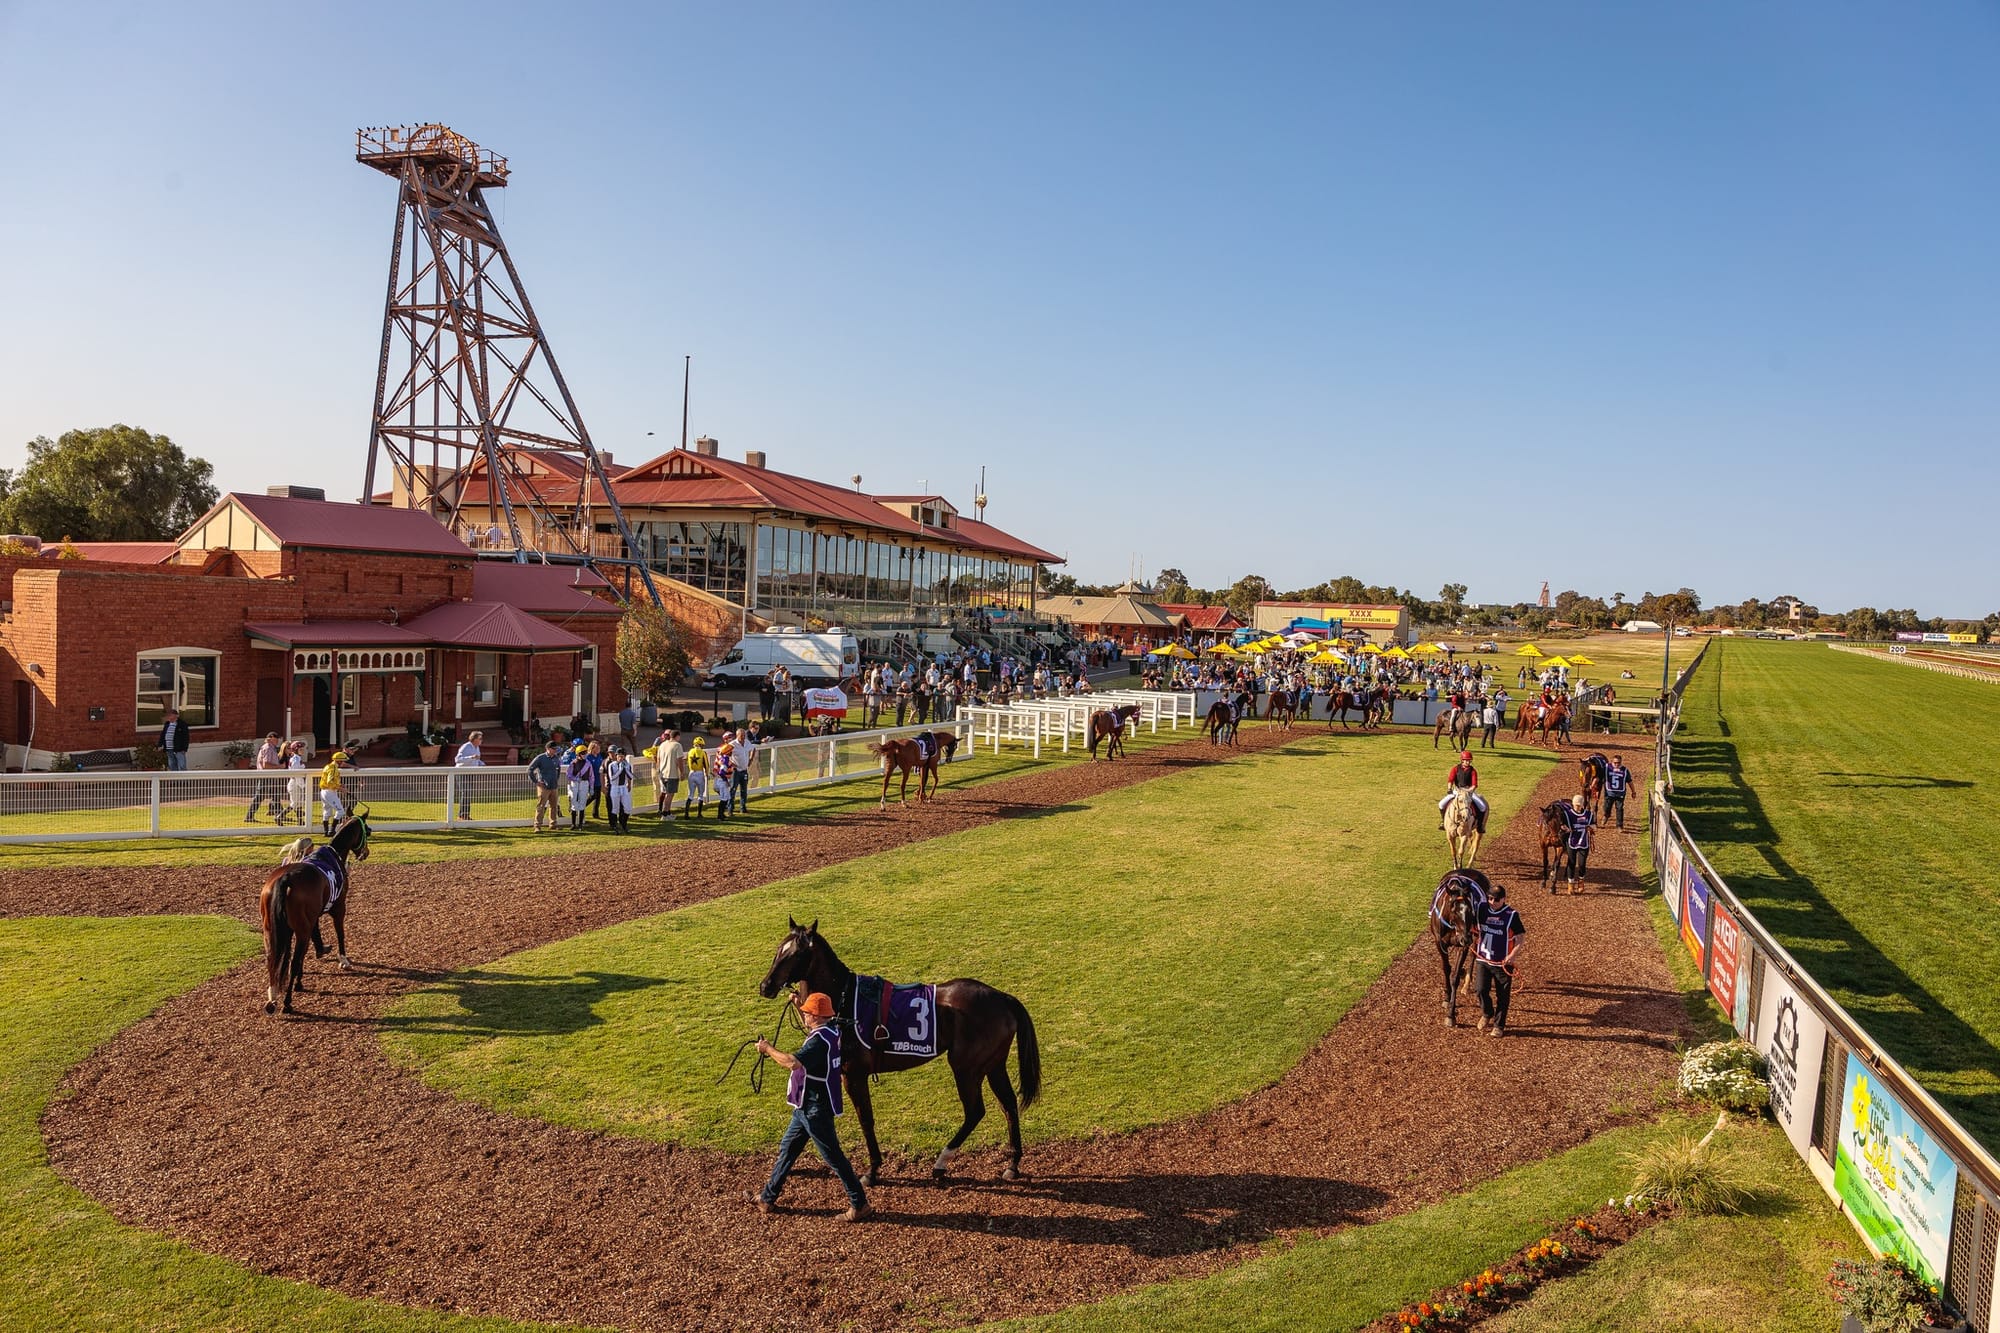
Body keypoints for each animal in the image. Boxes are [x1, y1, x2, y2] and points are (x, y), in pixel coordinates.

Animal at [258, 804, 372, 1012]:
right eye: (367, 830)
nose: (365, 852)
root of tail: (286, 878)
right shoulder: (339, 908)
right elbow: (340, 932)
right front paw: (343, 960)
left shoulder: (307, 920)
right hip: (300, 929)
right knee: (294, 961)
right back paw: (287, 1002)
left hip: (270, 929)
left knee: (273, 959)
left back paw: (273, 996)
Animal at [752, 912, 1048, 1184]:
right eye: (779, 949)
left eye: (797, 953)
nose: (766, 985)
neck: (845, 1002)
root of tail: (1002, 997)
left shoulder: (854, 1074)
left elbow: (865, 1119)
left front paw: (872, 1170)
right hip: (993, 1064)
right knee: (1008, 1104)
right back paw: (1013, 1163)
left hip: (967, 1068)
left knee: (975, 1111)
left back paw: (942, 1162)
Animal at [1424, 868, 1488, 1020]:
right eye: (1454, 910)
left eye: (1471, 909)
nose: (1466, 939)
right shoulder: (1440, 943)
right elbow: (1446, 969)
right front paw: (1447, 997)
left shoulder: (1463, 944)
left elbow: (1455, 975)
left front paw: (1451, 1014)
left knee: (1473, 954)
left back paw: (1466, 983)